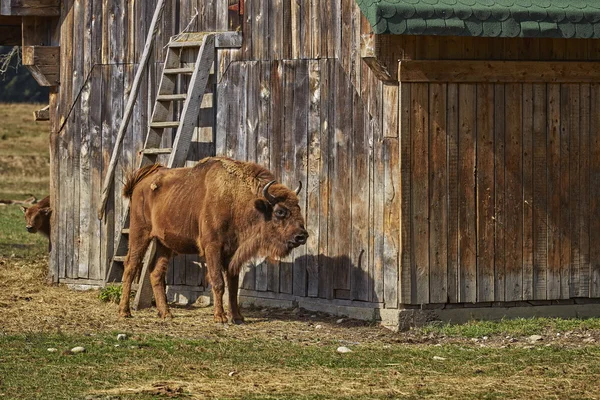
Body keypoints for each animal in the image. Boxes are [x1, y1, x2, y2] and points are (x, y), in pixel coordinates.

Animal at [119, 155, 308, 324]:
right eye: (280, 211)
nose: (302, 236)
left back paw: (166, 314)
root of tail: (142, 181)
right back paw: (125, 312)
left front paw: (238, 318)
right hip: (140, 233)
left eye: (298, 208)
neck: (235, 199)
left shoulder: (233, 253)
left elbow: (233, 285)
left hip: (163, 242)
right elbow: (218, 282)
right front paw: (220, 317)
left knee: (156, 272)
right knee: (130, 265)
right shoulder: (213, 248)